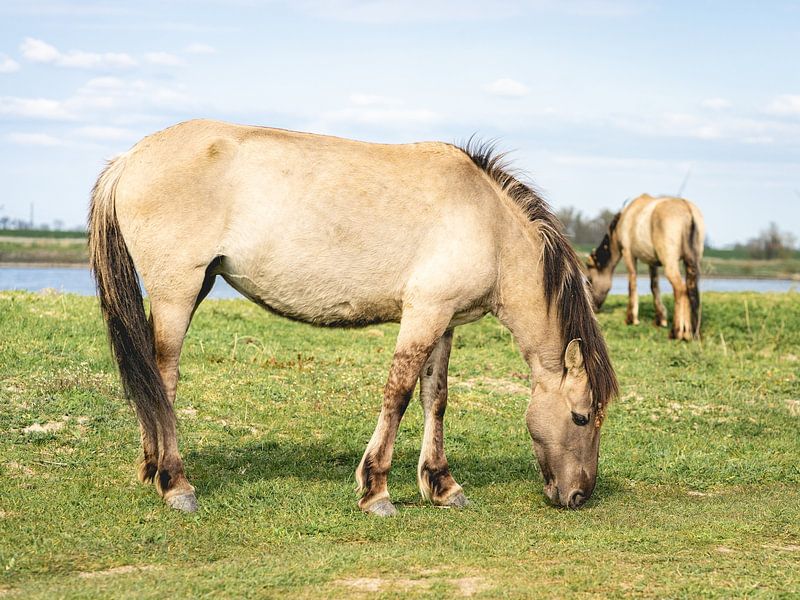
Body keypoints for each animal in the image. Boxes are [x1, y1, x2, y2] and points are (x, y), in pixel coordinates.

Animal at [89, 118, 620, 516]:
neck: (488, 223)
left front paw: (442, 486)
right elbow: (398, 394)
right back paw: (175, 483)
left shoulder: (444, 321)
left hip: (193, 287)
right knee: (164, 378)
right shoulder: (423, 314)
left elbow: (436, 398)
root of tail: (129, 160)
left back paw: (151, 470)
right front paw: (376, 491)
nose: (579, 495)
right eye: (580, 416)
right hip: (177, 293)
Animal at [580, 195, 708, 340]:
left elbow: (632, 284)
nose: (594, 307)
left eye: (589, 280)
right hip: (692, 262)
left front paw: (631, 319)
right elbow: (654, 286)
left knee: (680, 289)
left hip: (670, 262)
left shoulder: (628, 254)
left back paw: (677, 331)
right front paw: (660, 319)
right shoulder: (652, 262)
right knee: (691, 288)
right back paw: (692, 331)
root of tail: (688, 211)